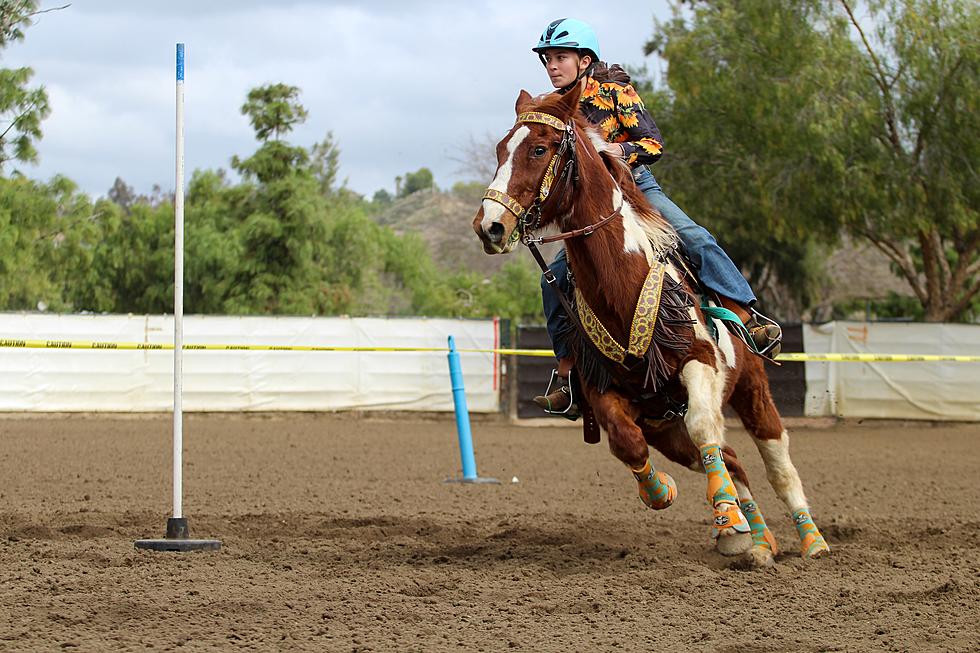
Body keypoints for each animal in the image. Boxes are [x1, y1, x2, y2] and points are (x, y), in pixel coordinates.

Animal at [470, 85, 832, 564]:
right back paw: (756, 542)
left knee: (776, 463)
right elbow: (627, 443)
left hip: (753, 392)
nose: (489, 225)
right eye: (499, 149)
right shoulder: (602, 390)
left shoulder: (700, 363)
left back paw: (810, 540)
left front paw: (728, 520)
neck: (621, 287)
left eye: (539, 149)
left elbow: (704, 426)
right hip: (665, 426)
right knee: (730, 456)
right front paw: (670, 496)